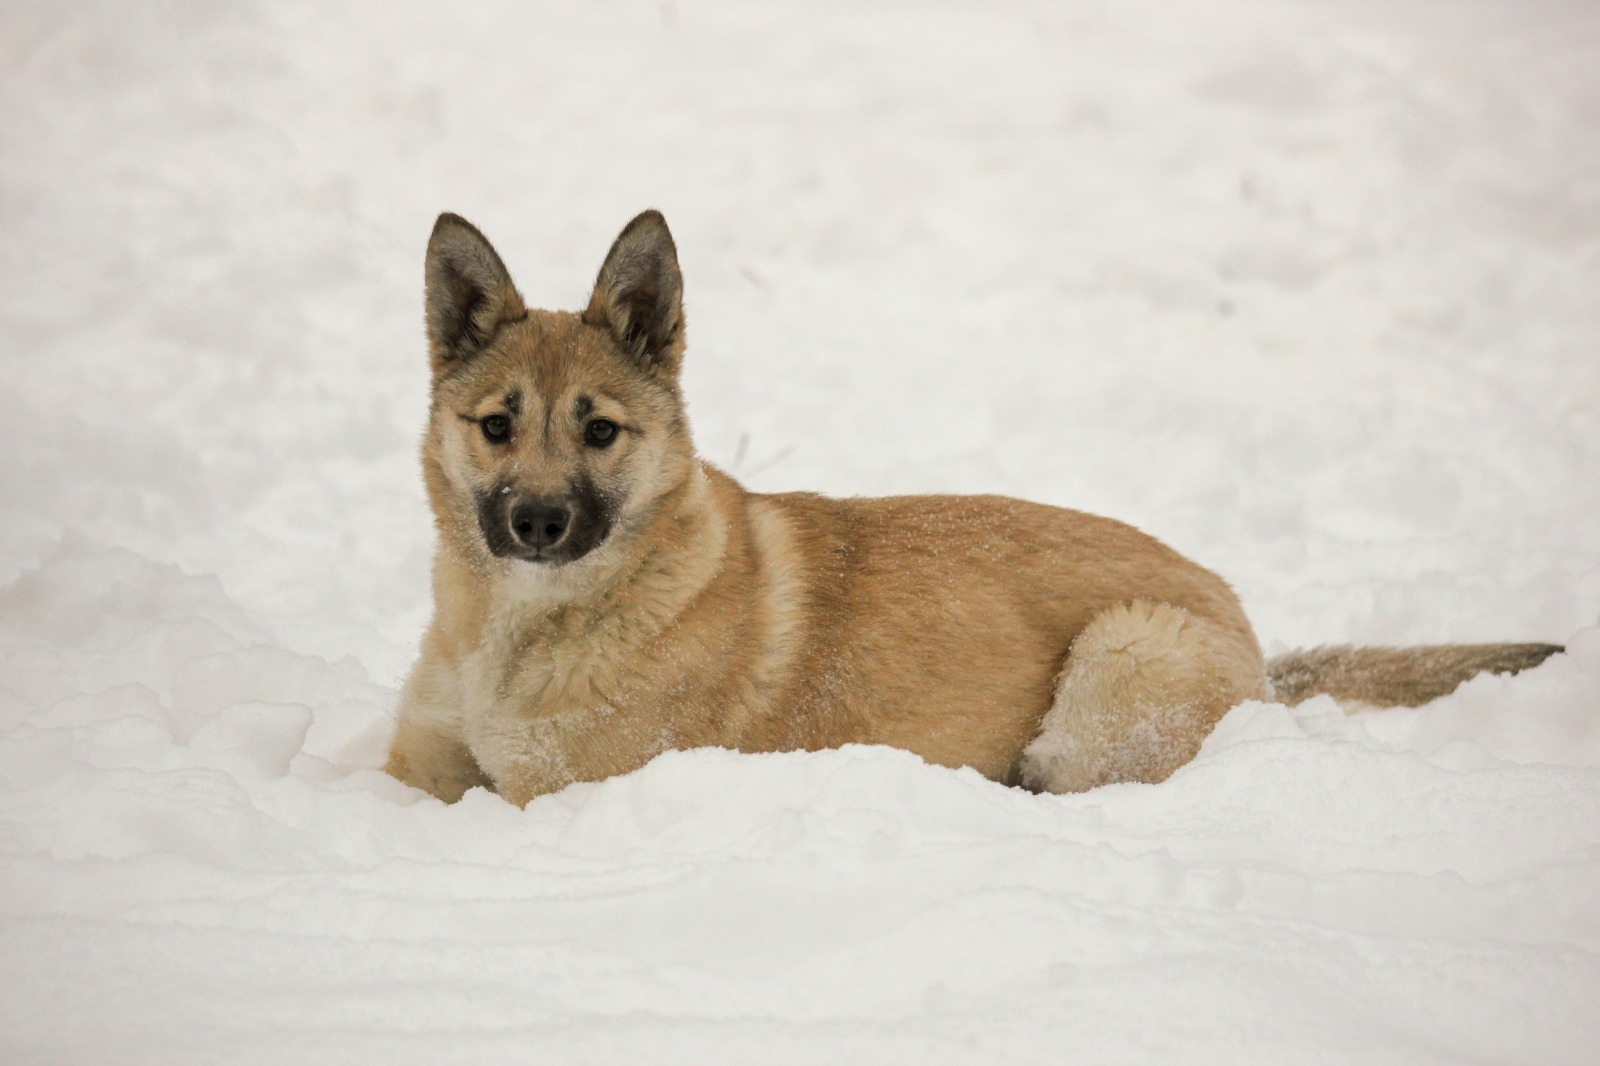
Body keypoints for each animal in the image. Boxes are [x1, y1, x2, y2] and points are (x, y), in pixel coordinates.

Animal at [384, 209, 1561, 806]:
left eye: (599, 431)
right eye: (497, 424)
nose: (537, 526)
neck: (523, 630)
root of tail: (1252, 640)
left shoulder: (558, 798)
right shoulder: (414, 765)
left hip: (1117, 663)